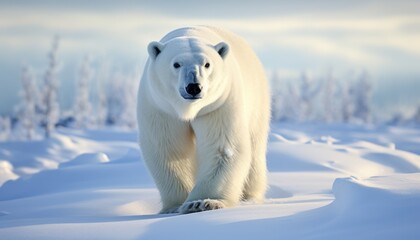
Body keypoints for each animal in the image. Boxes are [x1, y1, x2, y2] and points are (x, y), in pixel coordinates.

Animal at [136, 26, 270, 214]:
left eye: (207, 64)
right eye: (176, 64)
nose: (193, 87)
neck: (188, 110)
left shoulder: (217, 104)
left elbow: (222, 147)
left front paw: (201, 202)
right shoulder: (161, 108)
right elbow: (169, 149)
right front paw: (175, 206)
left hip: (257, 100)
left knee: (255, 148)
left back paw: (249, 198)